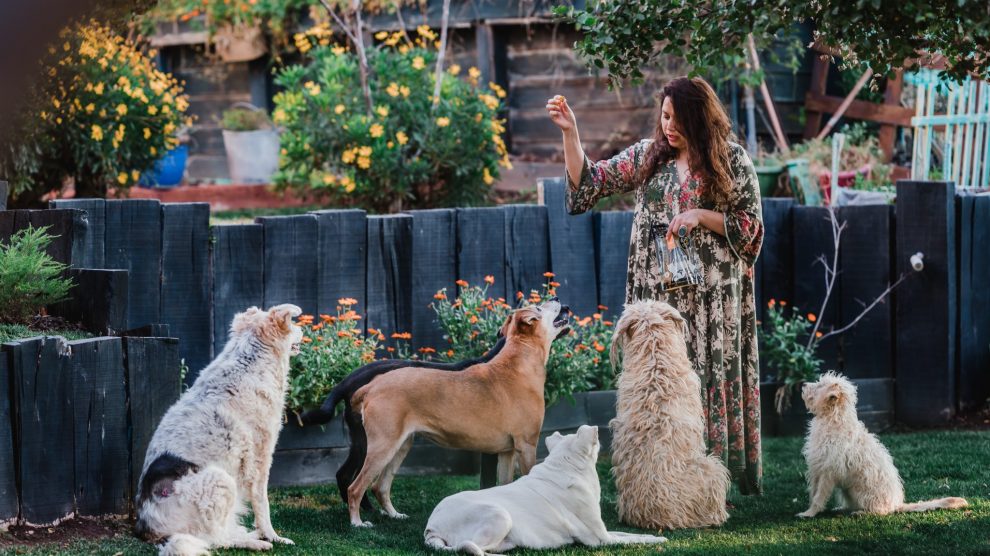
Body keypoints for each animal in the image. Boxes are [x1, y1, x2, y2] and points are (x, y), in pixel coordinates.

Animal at [134, 304, 303, 555]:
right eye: (292, 324)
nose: (303, 329)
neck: (251, 361)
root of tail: (147, 528)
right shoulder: (260, 459)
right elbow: (262, 504)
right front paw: (273, 536)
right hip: (220, 478)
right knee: (218, 539)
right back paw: (256, 542)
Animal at [342, 298, 570, 527]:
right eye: (538, 308)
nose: (558, 300)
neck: (520, 363)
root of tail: (371, 386)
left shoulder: (508, 451)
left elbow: (505, 485)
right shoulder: (527, 445)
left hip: (401, 445)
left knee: (379, 487)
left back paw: (394, 514)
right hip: (382, 447)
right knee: (355, 487)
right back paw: (357, 523)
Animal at [424, 425, 666, 554]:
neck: (566, 467)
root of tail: (431, 528)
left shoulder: (606, 532)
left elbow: (630, 533)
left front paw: (652, 535)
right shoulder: (601, 539)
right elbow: (633, 539)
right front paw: (659, 541)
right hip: (499, 515)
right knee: (472, 547)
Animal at [799, 371, 969, 517]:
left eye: (821, 385)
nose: (803, 384)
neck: (833, 419)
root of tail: (897, 504)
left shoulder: (828, 471)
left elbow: (819, 496)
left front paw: (809, 513)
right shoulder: (816, 468)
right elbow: (813, 492)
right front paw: (809, 510)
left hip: (861, 492)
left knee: (880, 511)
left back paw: (861, 512)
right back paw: (842, 508)